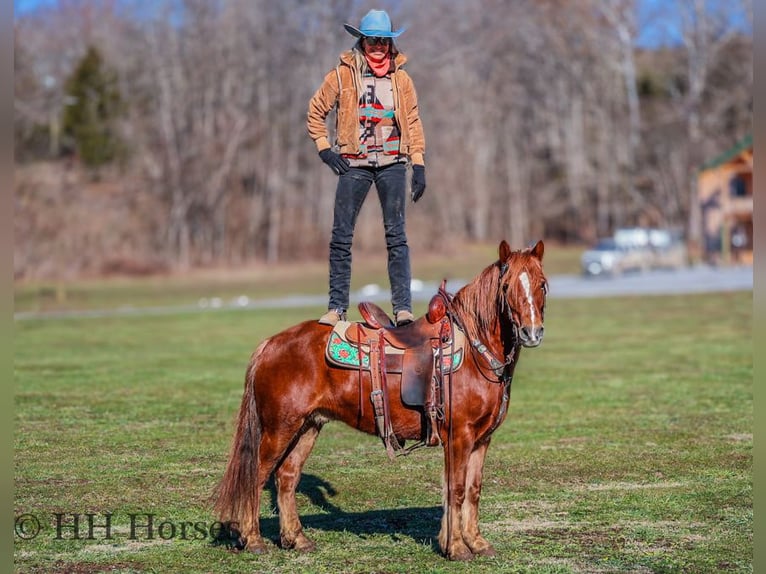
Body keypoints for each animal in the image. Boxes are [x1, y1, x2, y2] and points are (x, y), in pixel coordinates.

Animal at [214, 239, 547, 561]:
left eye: (542, 284)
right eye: (507, 286)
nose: (532, 333)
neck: (474, 350)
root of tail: (269, 344)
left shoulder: (481, 439)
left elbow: (474, 489)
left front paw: (477, 543)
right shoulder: (459, 437)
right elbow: (455, 490)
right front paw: (456, 548)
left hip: (308, 426)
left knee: (286, 476)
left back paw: (296, 539)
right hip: (279, 429)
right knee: (256, 476)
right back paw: (253, 540)